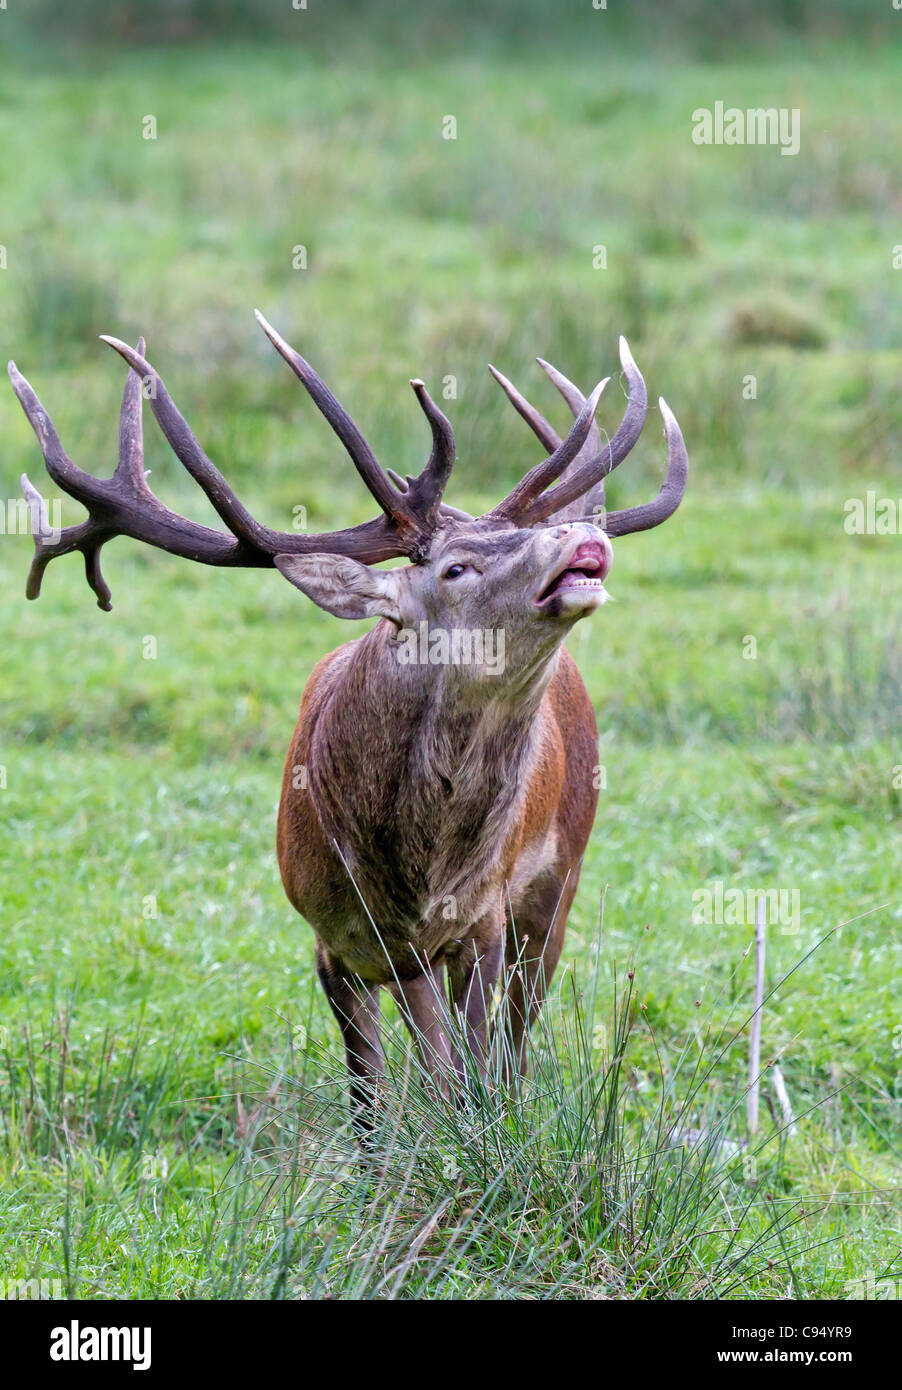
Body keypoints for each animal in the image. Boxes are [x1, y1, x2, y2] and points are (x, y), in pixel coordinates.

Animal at [9, 311, 687, 1132]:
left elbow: (480, 1079)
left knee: (514, 1044)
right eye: (455, 567)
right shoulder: (331, 940)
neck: (410, 871)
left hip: (562, 875)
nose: (577, 537)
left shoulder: (484, 921)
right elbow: (372, 1105)